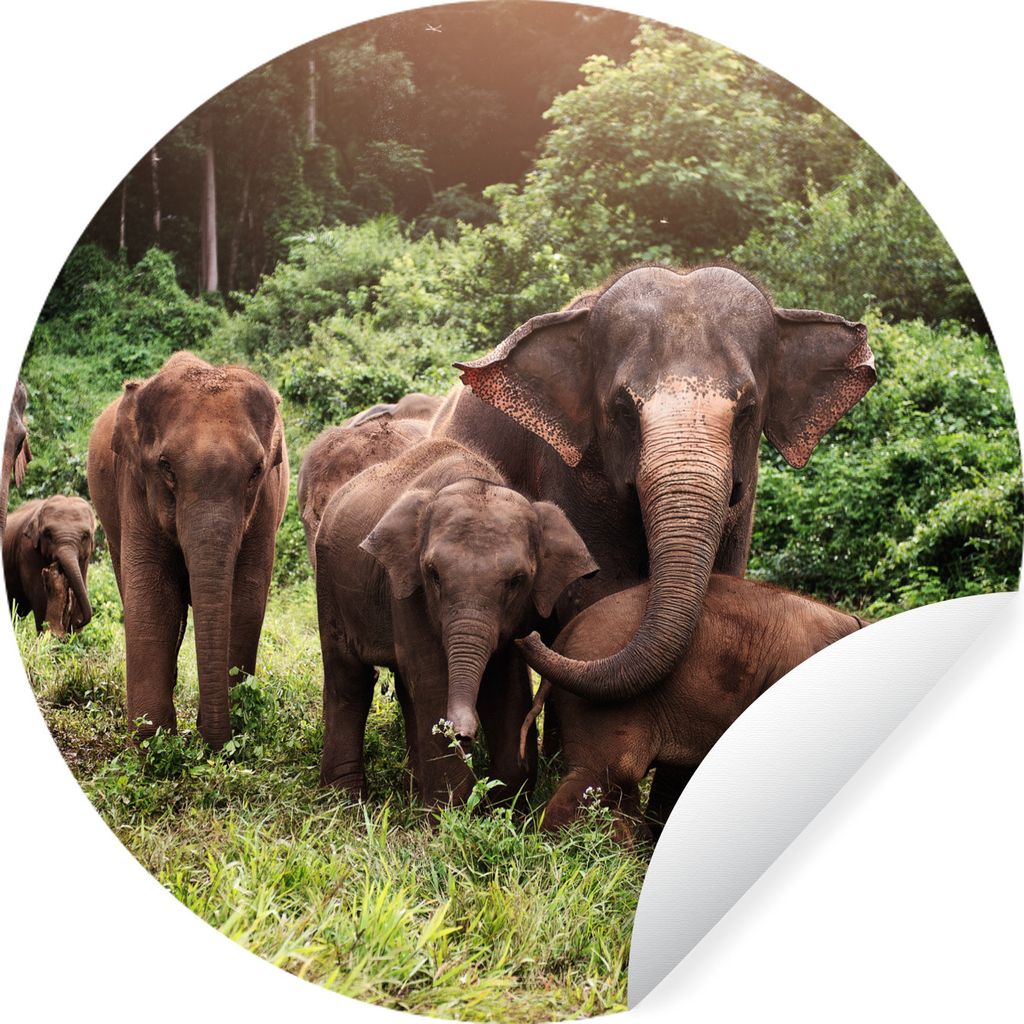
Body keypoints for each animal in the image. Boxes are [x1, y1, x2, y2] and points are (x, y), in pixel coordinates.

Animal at [3, 495, 95, 638]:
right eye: (48, 534)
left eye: (85, 535)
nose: (78, 623)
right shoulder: (27, 549)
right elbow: (40, 594)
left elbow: (81, 585)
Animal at [87, 352, 289, 748]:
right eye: (166, 467)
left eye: (256, 470)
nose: (212, 743)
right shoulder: (135, 485)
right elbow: (154, 600)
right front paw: (152, 743)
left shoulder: (266, 500)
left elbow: (244, 600)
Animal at [315, 436, 596, 808]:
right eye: (433, 574)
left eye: (517, 580)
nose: (462, 734)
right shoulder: (406, 589)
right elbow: (434, 680)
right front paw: (446, 812)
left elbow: (505, 684)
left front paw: (504, 806)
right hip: (329, 583)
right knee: (349, 679)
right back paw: (345, 801)